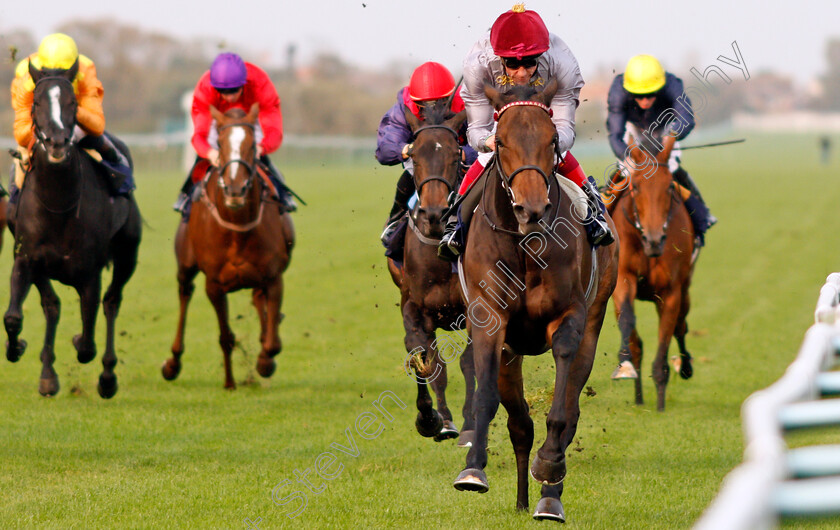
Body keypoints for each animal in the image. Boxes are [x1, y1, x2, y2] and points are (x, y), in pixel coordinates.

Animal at [3, 58, 141, 396]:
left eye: (73, 103)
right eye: (37, 102)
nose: (56, 143)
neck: (58, 205)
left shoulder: (90, 273)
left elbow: (87, 342)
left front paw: (80, 342)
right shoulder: (25, 258)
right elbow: (13, 317)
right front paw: (17, 347)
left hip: (127, 254)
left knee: (112, 302)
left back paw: (107, 378)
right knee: (52, 305)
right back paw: (47, 375)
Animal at [164, 102, 296, 388]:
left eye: (252, 144)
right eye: (220, 144)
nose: (235, 190)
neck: (237, 229)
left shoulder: (273, 277)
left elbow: (273, 342)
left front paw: (264, 363)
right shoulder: (214, 284)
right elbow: (226, 337)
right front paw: (229, 383)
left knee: (261, 307)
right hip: (185, 266)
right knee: (184, 294)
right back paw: (172, 362)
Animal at [386, 99, 476, 442]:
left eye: (455, 154)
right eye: (414, 155)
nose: (435, 214)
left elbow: (469, 362)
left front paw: (471, 421)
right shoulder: (414, 307)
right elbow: (421, 356)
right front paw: (431, 419)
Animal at [450, 82, 620, 520]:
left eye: (552, 140)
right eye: (502, 142)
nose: (532, 209)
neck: (525, 246)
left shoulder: (570, 317)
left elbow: (561, 410)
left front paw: (549, 466)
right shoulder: (490, 320)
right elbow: (488, 398)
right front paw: (473, 469)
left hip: (594, 319)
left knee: (569, 411)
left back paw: (548, 496)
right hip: (512, 353)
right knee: (520, 424)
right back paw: (523, 498)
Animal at [612, 132, 696, 408]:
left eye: (669, 186)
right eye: (636, 186)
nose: (654, 239)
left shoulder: (670, 292)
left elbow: (666, 338)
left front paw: (660, 405)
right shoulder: (623, 278)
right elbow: (628, 322)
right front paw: (625, 364)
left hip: (685, 290)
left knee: (681, 326)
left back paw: (686, 367)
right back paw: (638, 397)